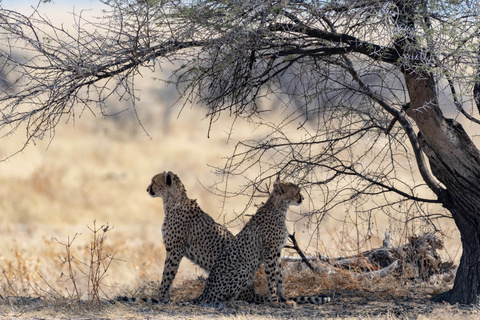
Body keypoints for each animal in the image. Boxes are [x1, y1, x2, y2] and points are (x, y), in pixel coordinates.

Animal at [193, 181, 332, 306]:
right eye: (297, 192)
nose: (302, 198)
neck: (279, 208)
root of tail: (205, 291)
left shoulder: (277, 252)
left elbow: (279, 278)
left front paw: (284, 300)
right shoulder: (269, 252)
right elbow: (271, 279)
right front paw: (275, 302)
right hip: (243, 270)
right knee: (220, 300)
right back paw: (237, 303)